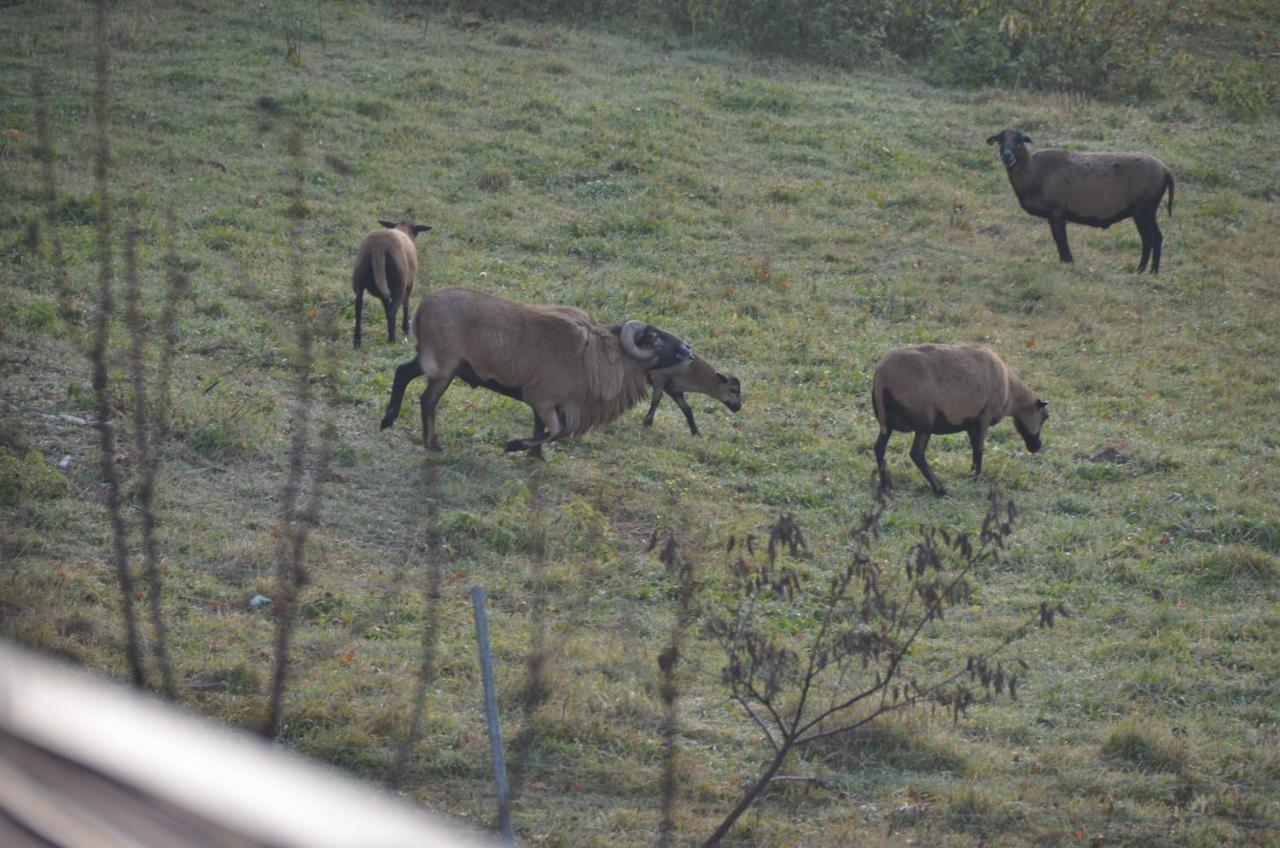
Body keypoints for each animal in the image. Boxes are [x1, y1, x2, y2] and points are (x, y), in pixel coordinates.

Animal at [353, 222, 432, 350]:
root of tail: (378, 246)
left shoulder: (383, 295)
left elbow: (386, 306)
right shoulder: (409, 284)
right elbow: (405, 305)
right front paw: (405, 329)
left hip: (359, 280)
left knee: (358, 307)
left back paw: (357, 342)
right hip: (398, 285)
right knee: (393, 311)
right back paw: (392, 341)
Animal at [378, 286, 696, 458]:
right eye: (654, 339)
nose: (688, 349)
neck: (595, 357)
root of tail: (422, 308)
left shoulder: (547, 404)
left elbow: (544, 430)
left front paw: (536, 456)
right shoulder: (543, 399)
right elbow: (555, 431)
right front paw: (513, 446)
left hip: (429, 361)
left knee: (402, 373)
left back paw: (388, 420)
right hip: (444, 370)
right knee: (427, 401)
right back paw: (432, 444)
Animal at [870, 343, 1049, 499]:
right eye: (1044, 417)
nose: (1037, 446)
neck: (1011, 393)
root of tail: (881, 375)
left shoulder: (971, 423)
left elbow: (974, 448)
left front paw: (973, 475)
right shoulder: (984, 417)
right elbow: (979, 449)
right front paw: (977, 479)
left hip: (888, 421)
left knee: (879, 448)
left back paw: (886, 485)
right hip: (924, 421)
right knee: (916, 454)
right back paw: (940, 489)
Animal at [983, 128, 1172, 274]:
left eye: (1020, 141)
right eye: (1000, 140)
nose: (1007, 156)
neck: (1034, 172)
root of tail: (1166, 170)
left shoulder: (1056, 211)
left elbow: (1060, 239)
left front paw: (1067, 262)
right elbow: (1059, 239)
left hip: (1144, 209)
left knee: (1151, 239)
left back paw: (1147, 271)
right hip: (1146, 211)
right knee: (1153, 238)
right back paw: (1147, 271)